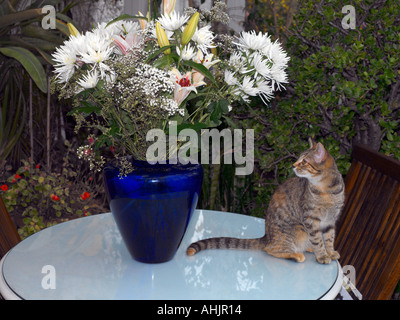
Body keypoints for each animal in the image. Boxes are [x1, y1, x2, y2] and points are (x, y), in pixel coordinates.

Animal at [186, 139, 346, 264]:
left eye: (304, 162)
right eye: (298, 160)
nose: (294, 165)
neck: (327, 191)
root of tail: (266, 237)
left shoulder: (330, 220)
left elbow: (329, 238)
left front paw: (330, 252)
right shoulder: (311, 220)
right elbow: (318, 240)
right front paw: (323, 255)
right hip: (297, 230)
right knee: (271, 249)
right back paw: (296, 255)